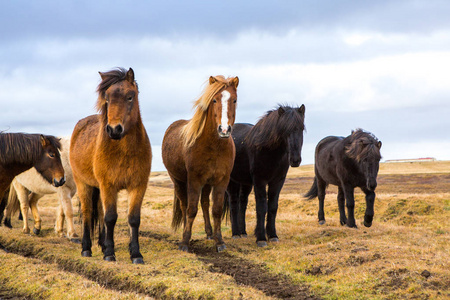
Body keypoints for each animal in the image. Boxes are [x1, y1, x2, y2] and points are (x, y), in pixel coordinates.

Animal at [69, 67, 152, 262]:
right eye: (107, 98)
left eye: (130, 96)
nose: (114, 129)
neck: (124, 151)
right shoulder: (108, 186)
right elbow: (110, 218)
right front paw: (109, 254)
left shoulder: (138, 185)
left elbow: (133, 219)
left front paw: (135, 254)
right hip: (83, 184)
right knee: (88, 213)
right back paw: (86, 248)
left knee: (98, 211)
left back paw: (101, 243)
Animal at [162, 75, 239, 253]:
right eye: (214, 100)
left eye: (234, 100)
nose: (224, 130)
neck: (214, 146)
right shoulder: (194, 180)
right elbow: (191, 210)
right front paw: (185, 241)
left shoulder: (221, 181)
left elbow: (216, 210)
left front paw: (219, 241)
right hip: (178, 181)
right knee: (184, 205)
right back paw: (185, 230)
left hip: (207, 183)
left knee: (204, 203)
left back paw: (209, 233)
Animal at [221, 104, 306, 247]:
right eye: (285, 130)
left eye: (301, 129)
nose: (295, 160)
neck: (268, 150)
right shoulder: (259, 181)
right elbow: (261, 207)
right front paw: (261, 238)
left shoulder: (277, 182)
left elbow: (272, 207)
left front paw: (272, 236)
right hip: (232, 182)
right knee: (233, 204)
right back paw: (236, 234)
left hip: (245, 183)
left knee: (242, 203)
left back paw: (243, 232)